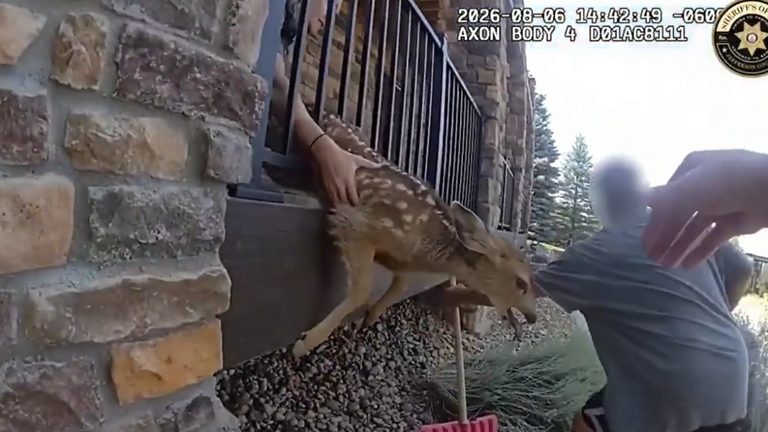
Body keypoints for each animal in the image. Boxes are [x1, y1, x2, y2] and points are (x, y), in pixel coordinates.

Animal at [292, 113, 538, 358]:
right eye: (521, 282)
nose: (533, 316)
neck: (424, 249)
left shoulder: (397, 257)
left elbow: (401, 284)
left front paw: (371, 316)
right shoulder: (356, 224)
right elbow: (362, 290)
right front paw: (304, 342)